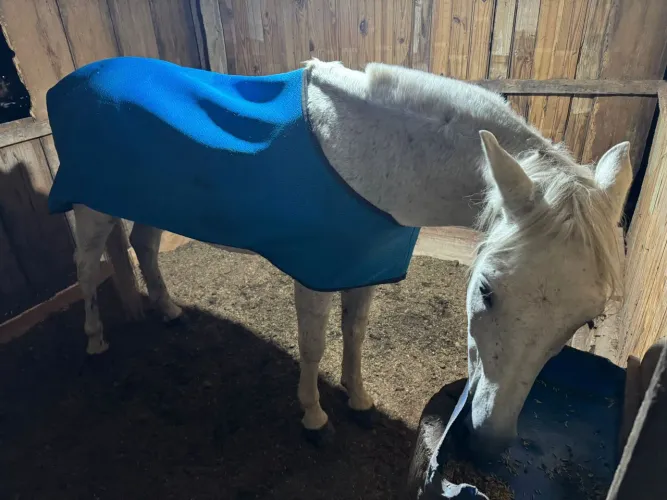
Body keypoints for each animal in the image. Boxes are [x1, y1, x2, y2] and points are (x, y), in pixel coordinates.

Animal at [46, 57, 632, 450]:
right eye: (485, 290)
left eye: (587, 319)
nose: (490, 440)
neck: (376, 155)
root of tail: (73, 79)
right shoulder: (316, 273)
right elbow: (314, 345)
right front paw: (314, 417)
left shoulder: (364, 265)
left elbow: (356, 332)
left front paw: (358, 400)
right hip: (92, 206)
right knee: (86, 266)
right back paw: (95, 340)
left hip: (154, 200)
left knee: (144, 246)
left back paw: (168, 311)